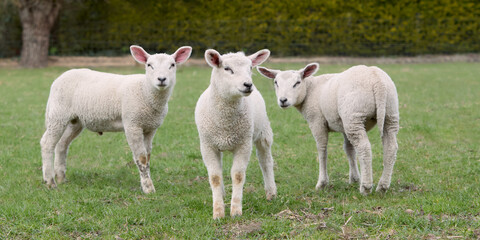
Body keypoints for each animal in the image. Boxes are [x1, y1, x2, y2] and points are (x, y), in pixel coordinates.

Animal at [39, 45, 192, 194]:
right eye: (149, 65)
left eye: (172, 65)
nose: (161, 79)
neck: (145, 90)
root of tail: (58, 79)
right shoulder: (132, 124)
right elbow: (141, 158)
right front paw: (148, 188)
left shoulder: (150, 128)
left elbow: (147, 157)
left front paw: (147, 184)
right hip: (58, 114)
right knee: (47, 143)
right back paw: (50, 182)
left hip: (75, 120)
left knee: (62, 144)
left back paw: (61, 178)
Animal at [195, 48, 278, 219]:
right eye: (227, 69)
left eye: (250, 68)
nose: (248, 84)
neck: (225, 124)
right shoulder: (207, 146)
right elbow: (215, 177)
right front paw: (218, 212)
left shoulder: (243, 144)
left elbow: (238, 175)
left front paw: (235, 210)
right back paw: (222, 194)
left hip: (263, 132)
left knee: (266, 161)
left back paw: (271, 192)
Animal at [256, 63, 400, 195]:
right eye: (276, 82)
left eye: (297, 82)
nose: (283, 100)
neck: (309, 89)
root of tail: (377, 81)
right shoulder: (343, 125)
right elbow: (349, 150)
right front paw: (354, 179)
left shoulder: (317, 121)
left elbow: (322, 149)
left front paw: (322, 183)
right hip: (389, 113)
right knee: (390, 147)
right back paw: (382, 186)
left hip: (354, 114)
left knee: (364, 148)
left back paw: (366, 187)